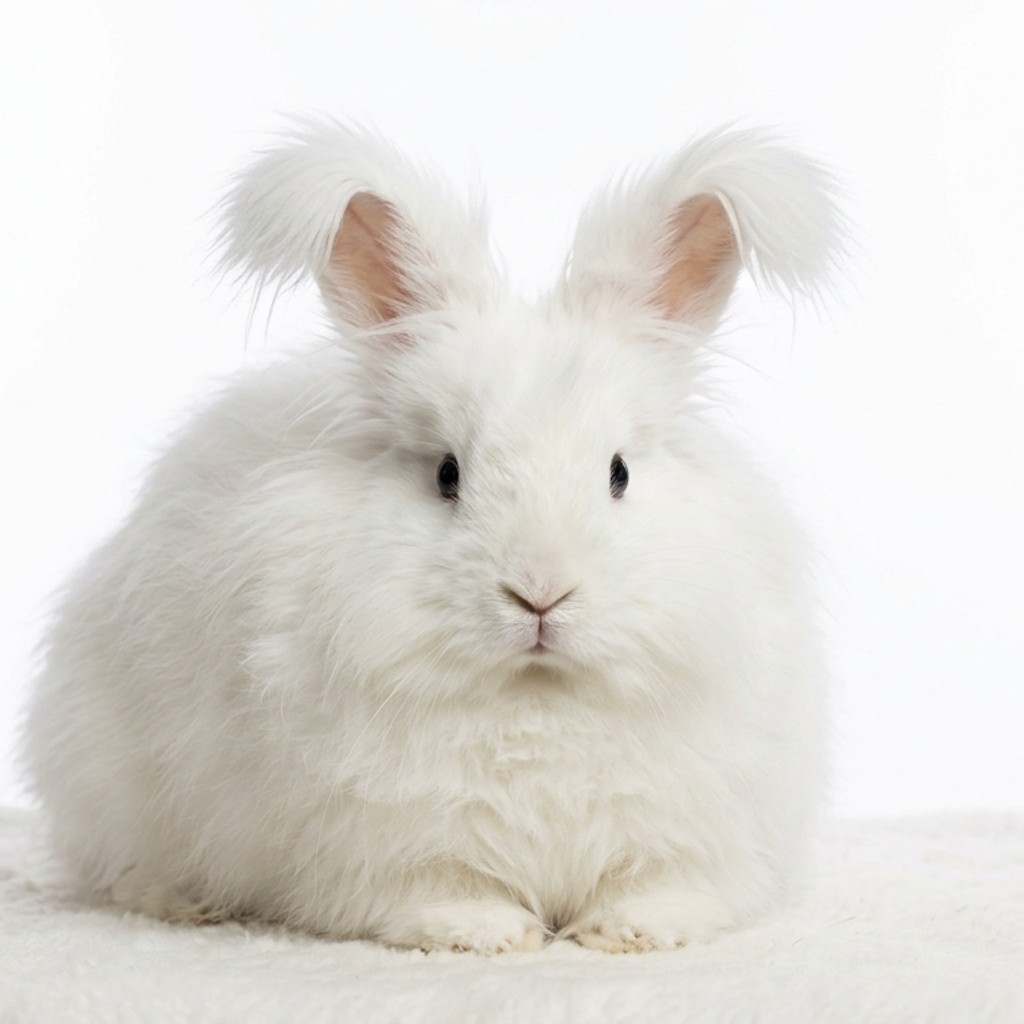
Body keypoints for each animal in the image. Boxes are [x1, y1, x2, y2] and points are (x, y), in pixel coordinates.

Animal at [22, 119, 840, 954]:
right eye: (448, 473)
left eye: (618, 472)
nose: (539, 593)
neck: (535, 698)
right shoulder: (385, 839)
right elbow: (441, 887)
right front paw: (485, 933)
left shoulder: (693, 820)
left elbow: (660, 883)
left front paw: (634, 930)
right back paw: (179, 904)